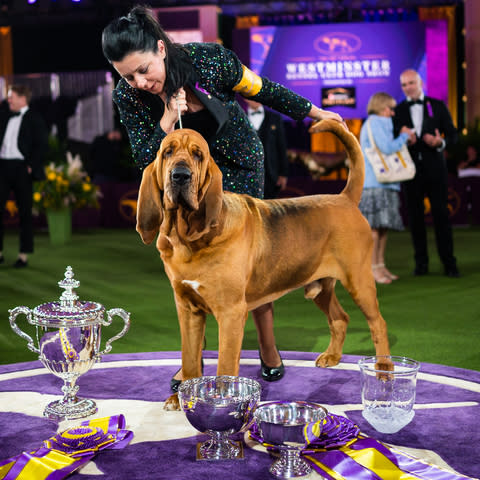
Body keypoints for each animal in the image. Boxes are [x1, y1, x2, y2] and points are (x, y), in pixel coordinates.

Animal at [135, 119, 390, 408]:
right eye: (167, 152)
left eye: (198, 155)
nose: (180, 175)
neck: (188, 238)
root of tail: (344, 198)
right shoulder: (188, 310)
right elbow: (189, 358)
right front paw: (180, 399)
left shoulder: (231, 313)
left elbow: (225, 364)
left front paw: (222, 402)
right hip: (320, 288)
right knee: (340, 318)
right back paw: (332, 356)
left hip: (359, 281)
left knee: (378, 323)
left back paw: (383, 369)